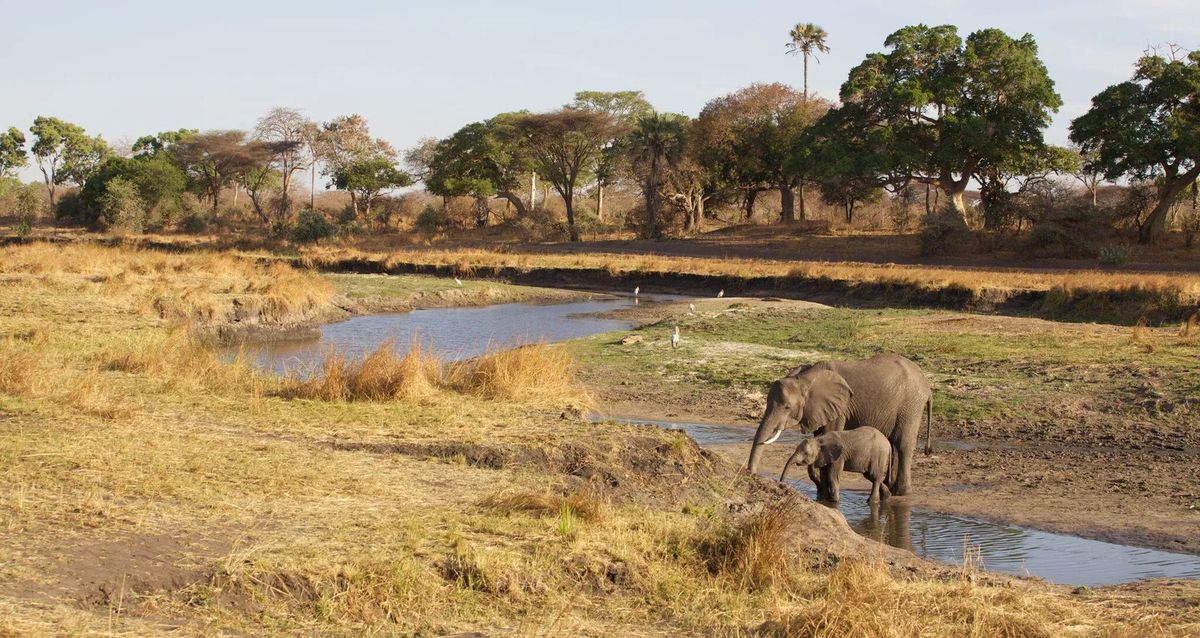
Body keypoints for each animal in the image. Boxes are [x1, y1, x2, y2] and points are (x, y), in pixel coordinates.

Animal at [746, 353, 932, 497]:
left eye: (787, 407)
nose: (752, 476)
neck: (805, 379)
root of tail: (926, 384)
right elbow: (819, 440)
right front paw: (822, 493)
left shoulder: (839, 408)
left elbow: (830, 434)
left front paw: (825, 492)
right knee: (893, 443)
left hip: (911, 405)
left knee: (903, 444)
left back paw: (901, 492)